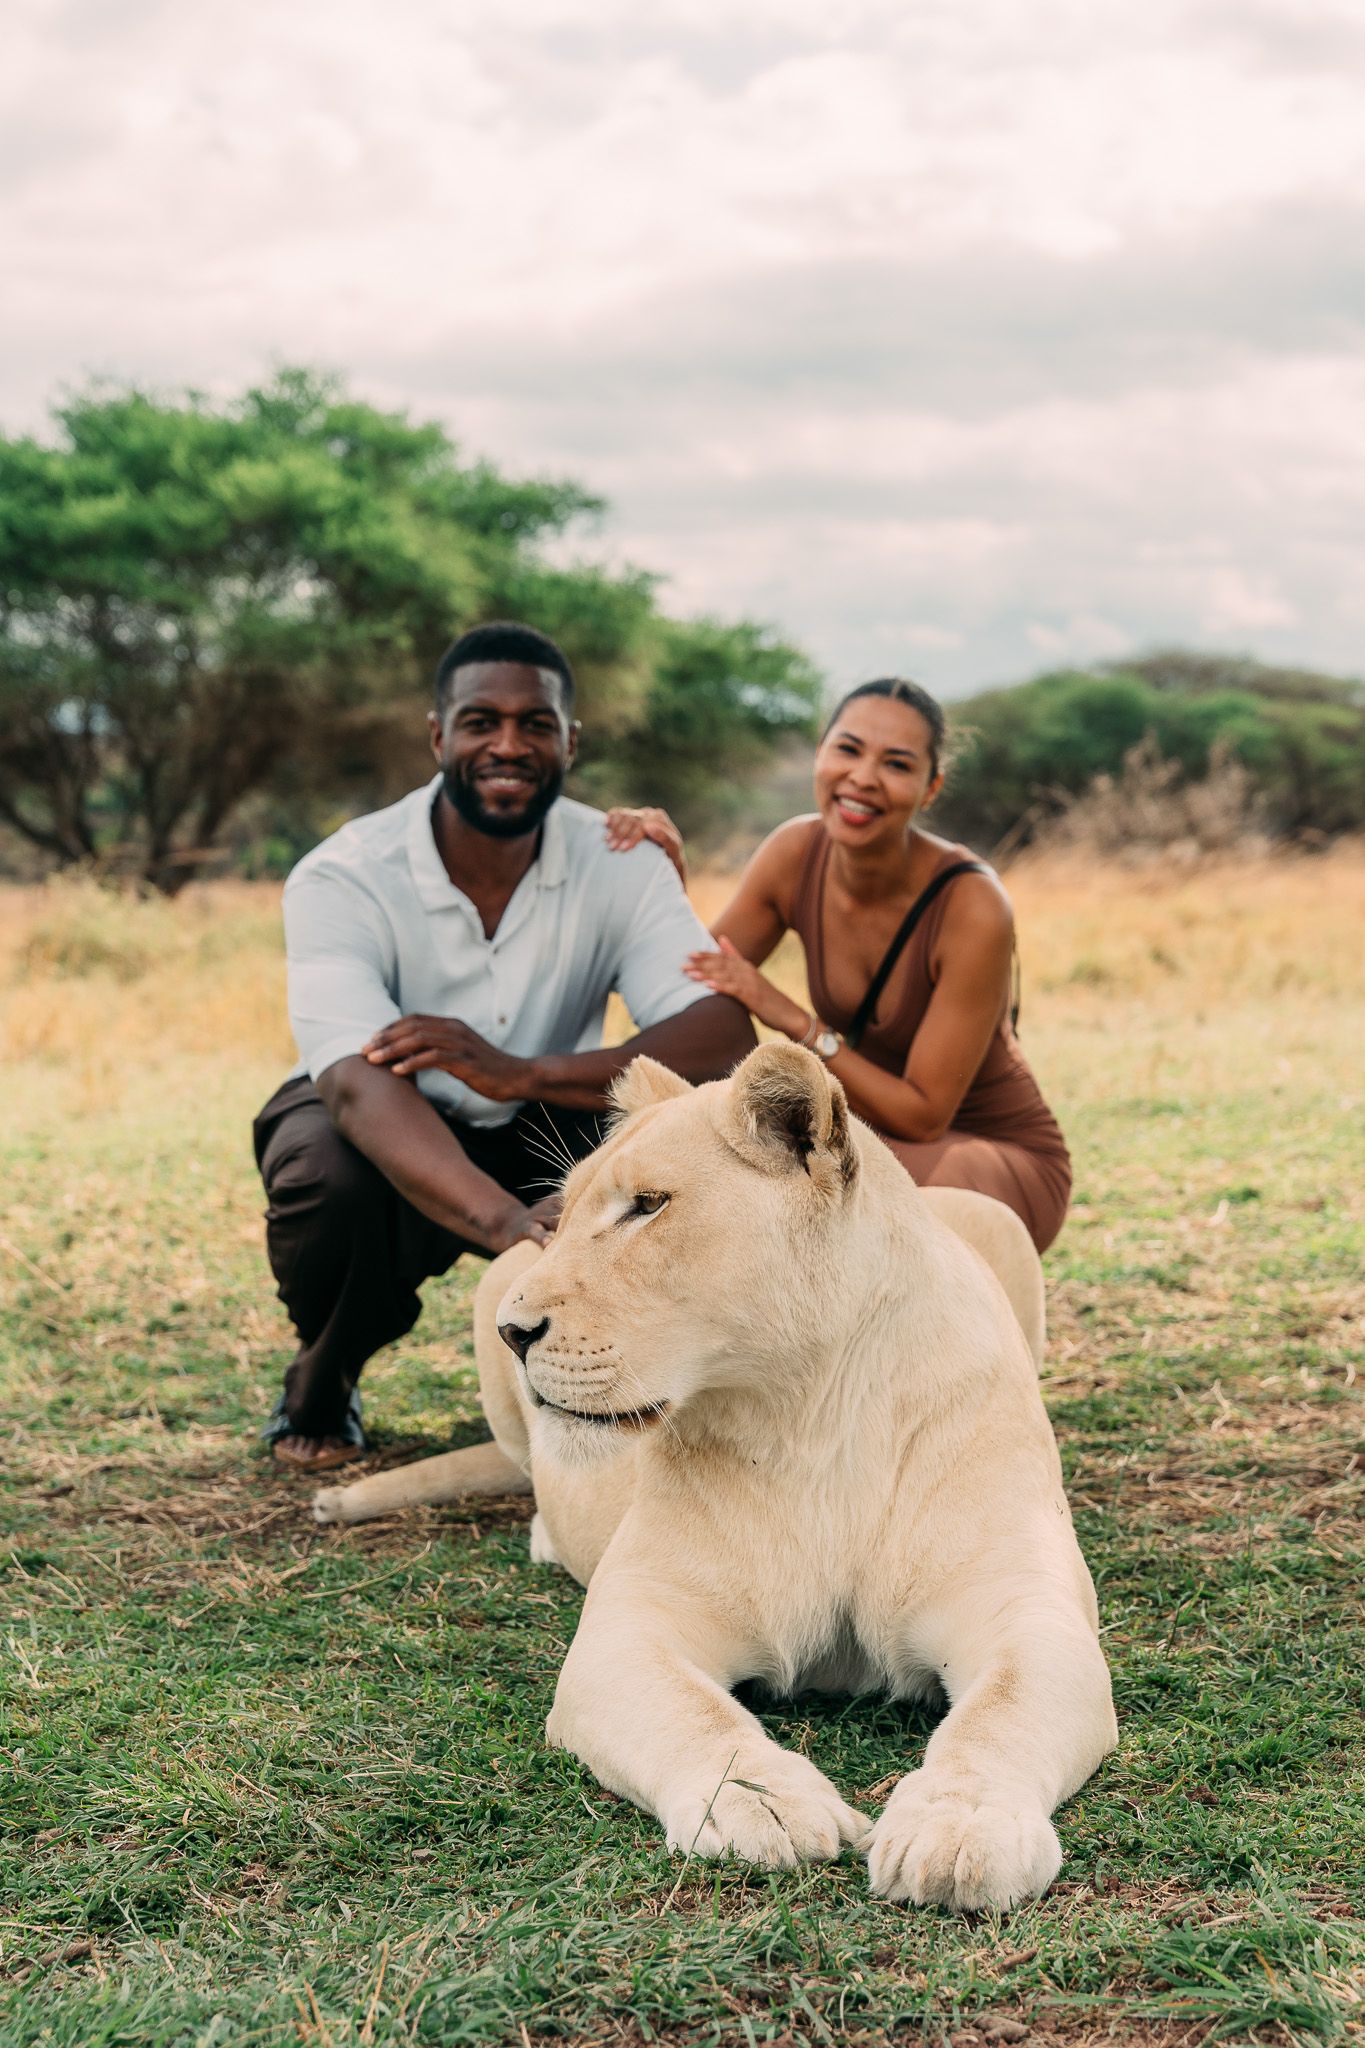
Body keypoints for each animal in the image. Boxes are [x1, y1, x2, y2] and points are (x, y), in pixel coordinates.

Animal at [314, 1043, 1116, 1909]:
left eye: (647, 1206)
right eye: (559, 1217)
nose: (511, 1333)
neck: (811, 1417)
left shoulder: (1024, 1608)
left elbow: (999, 1714)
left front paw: (959, 1830)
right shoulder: (630, 1624)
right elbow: (692, 1717)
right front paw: (761, 1805)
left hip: (997, 1216)